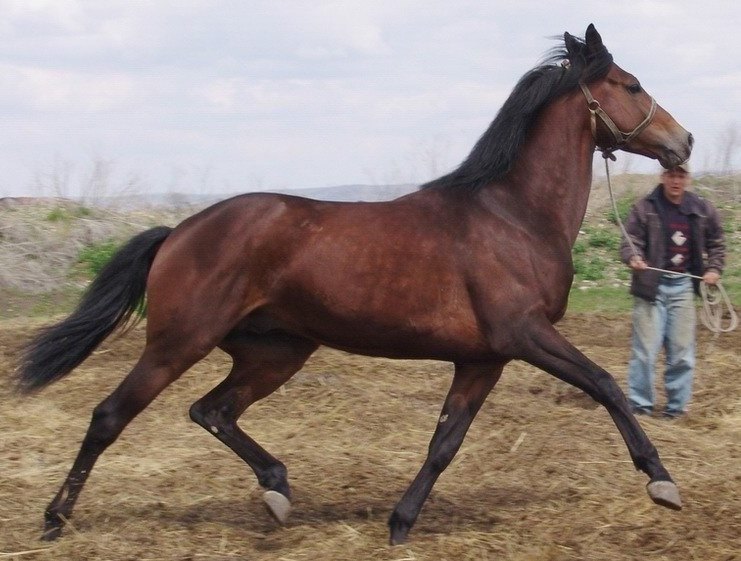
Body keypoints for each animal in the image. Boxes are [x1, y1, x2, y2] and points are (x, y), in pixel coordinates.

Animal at [17, 24, 692, 544]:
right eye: (631, 84)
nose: (683, 141)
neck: (513, 215)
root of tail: (178, 232)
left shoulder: (483, 359)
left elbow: (444, 443)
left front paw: (400, 524)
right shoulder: (524, 335)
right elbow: (605, 384)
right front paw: (662, 481)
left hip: (275, 351)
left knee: (212, 410)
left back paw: (278, 490)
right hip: (179, 342)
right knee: (111, 415)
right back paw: (54, 519)